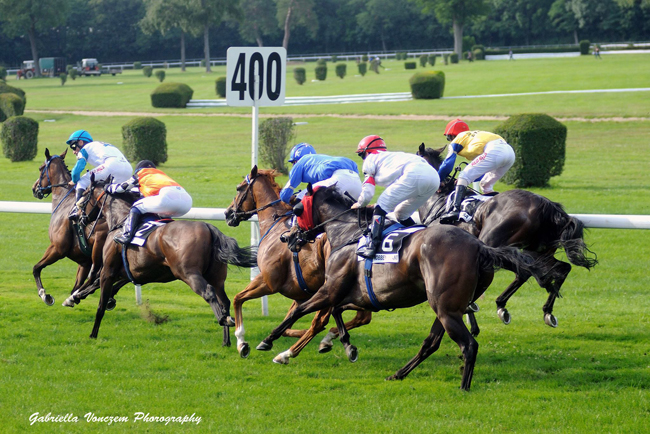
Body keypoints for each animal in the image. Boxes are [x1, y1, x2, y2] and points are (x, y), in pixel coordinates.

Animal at [30, 149, 107, 306]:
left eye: (41, 168)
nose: (34, 188)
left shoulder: (58, 248)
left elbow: (36, 268)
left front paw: (44, 295)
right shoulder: (84, 261)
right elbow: (77, 285)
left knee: (97, 276)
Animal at [84, 176, 258, 342]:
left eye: (84, 194)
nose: (79, 216)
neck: (122, 221)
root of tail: (209, 227)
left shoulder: (109, 270)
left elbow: (100, 302)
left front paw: (92, 333)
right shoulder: (137, 273)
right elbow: (105, 286)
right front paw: (87, 297)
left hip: (188, 273)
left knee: (209, 293)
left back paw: (223, 320)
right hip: (217, 277)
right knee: (224, 301)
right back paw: (227, 339)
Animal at [223, 166, 370, 360]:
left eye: (239, 188)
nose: (228, 213)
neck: (275, 225)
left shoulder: (269, 282)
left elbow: (238, 298)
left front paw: (242, 342)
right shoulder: (302, 293)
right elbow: (291, 321)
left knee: (322, 320)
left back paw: (292, 351)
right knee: (361, 316)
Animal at [258, 185, 532, 392]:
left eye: (297, 208)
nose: (286, 237)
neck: (347, 234)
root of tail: (478, 245)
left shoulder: (330, 289)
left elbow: (299, 310)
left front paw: (269, 342)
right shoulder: (358, 296)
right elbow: (336, 312)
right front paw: (345, 345)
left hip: (446, 309)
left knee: (468, 345)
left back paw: (464, 387)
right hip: (447, 308)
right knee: (431, 343)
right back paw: (399, 374)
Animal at [418, 144, 596, 328]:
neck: (440, 199)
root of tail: (547, 206)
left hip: (493, 245)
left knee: (525, 270)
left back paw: (501, 305)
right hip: (539, 251)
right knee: (560, 268)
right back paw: (543, 310)